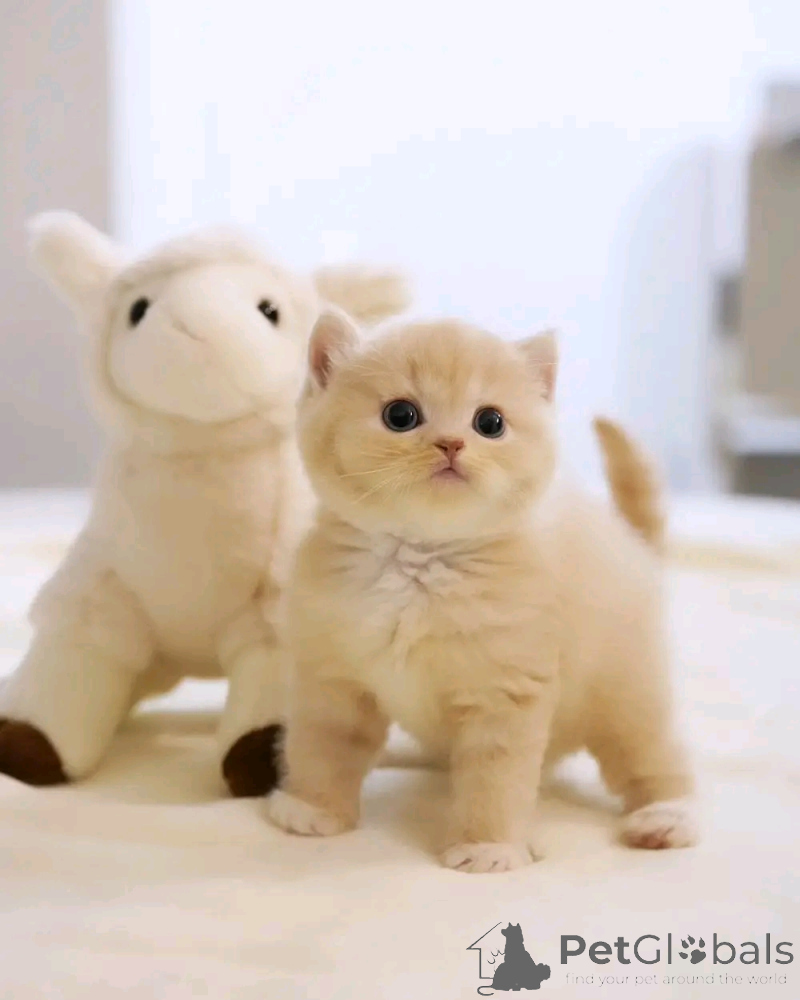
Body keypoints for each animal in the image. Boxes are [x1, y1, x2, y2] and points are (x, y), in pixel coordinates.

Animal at [267, 309, 697, 872]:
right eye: (400, 415)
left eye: (489, 423)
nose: (451, 443)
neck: (419, 560)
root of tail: (634, 545)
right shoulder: (332, 676)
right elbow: (324, 744)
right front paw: (312, 809)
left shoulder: (506, 693)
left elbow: (495, 779)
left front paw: (488, 847)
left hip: (628, 690)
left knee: (654, 756)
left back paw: (666, 816)